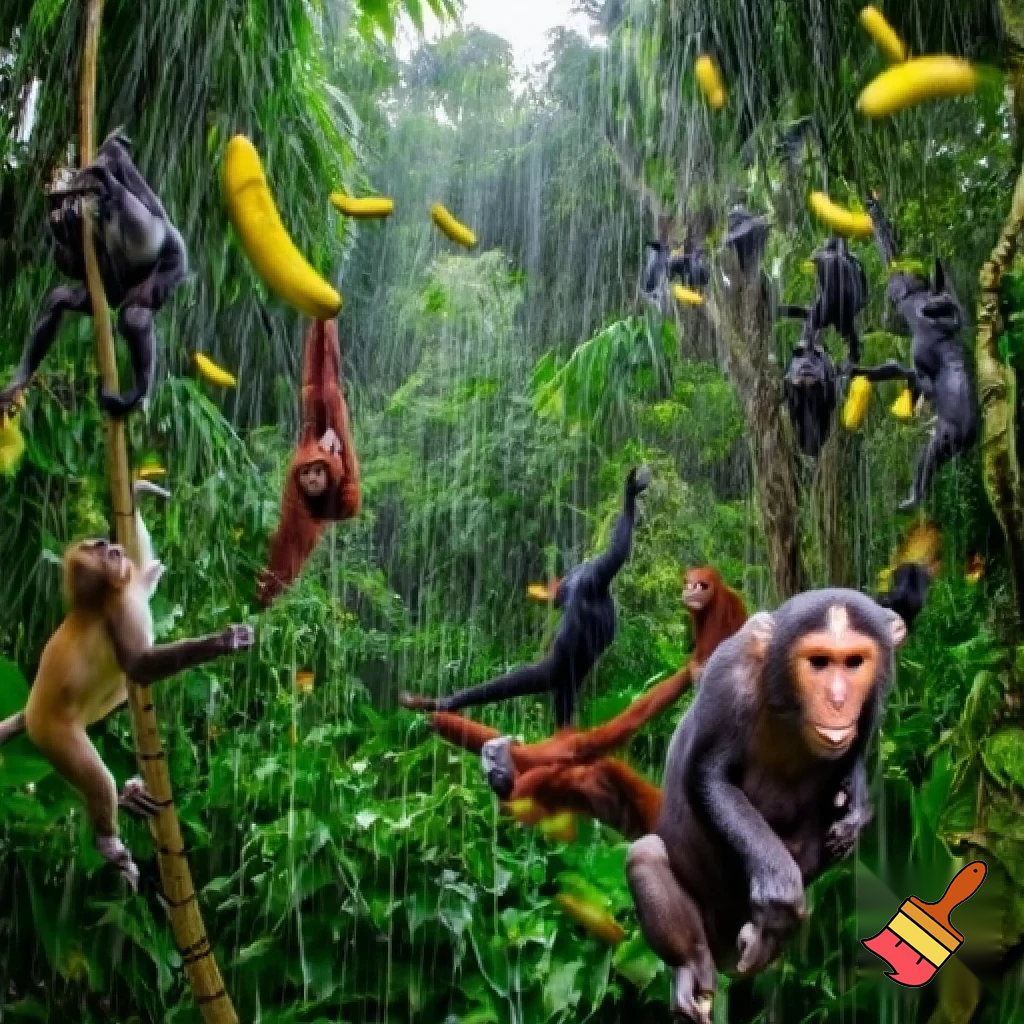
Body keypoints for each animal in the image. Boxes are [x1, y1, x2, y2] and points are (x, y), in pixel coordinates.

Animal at [0, 129, 187, 420]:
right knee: (61, 299)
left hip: (172, 263)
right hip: (110, 294)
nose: (61, 209)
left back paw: (138, 393)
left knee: (136, 312)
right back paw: (17, 383)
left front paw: (102, 170)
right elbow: (73, 264)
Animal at [0, 484, 253, 890]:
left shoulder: (129, 586)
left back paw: (129, 798)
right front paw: (224, 640)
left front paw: (137, 492)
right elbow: (137, 664)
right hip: (55, 732)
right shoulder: (118, 608)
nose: (108, 544)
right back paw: (108, 839)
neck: (101, 597)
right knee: (96, 776)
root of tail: (31, 710)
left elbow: (145, 571)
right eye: (97, 548)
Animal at [625, 589, 907, 1023]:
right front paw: (779, 894)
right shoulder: (731, 670)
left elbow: (855, 756)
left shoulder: (875, 697)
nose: (838, 698)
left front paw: (855, 808)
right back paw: (691, 968)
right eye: (819, 662)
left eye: (854, 662)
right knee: (646, 857)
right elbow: (710, 775)